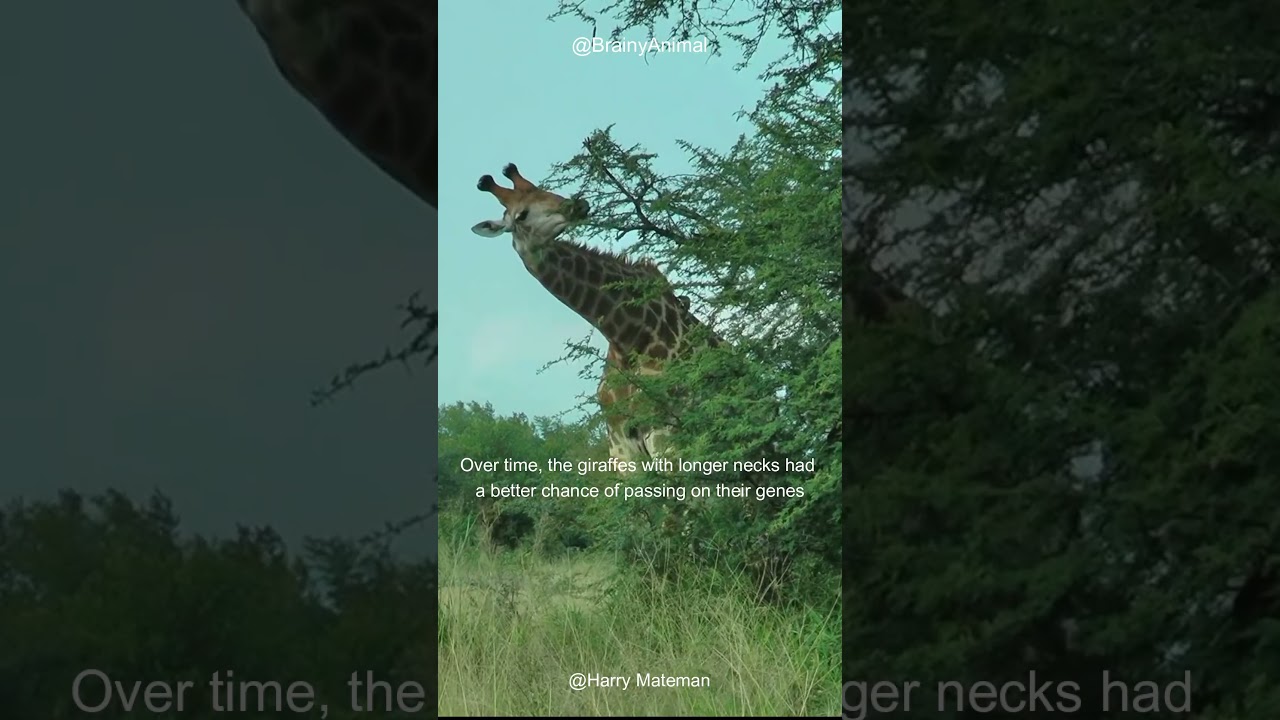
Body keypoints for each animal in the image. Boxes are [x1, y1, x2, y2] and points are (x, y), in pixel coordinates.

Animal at [470, 163, 721, 463]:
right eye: (522, 215)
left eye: (543, 188)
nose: (577, 205)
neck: (627, 335)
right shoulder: (623, 449)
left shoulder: (667, 434)